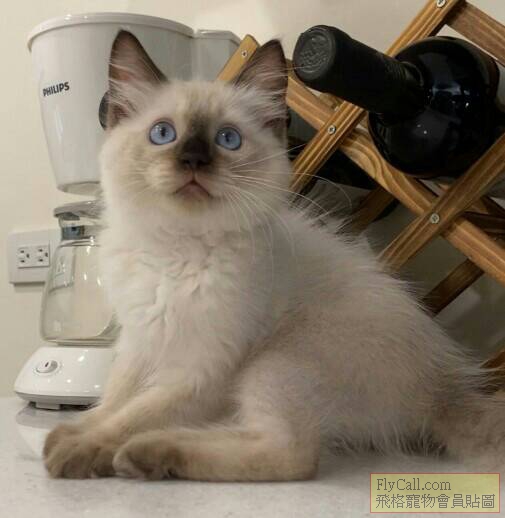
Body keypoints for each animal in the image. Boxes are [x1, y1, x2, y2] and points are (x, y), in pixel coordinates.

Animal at [43, 30, 505, 481]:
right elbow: (112, 401)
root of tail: (444, 390)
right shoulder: (140, 342)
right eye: (162, 134)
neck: (175, 249)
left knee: (293, 455)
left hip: (274, 362)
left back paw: (147, 454)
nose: (193, 160)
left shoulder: (201, 370)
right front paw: (68, 433)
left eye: (227, 140)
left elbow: (131, 415)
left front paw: (79, 450)